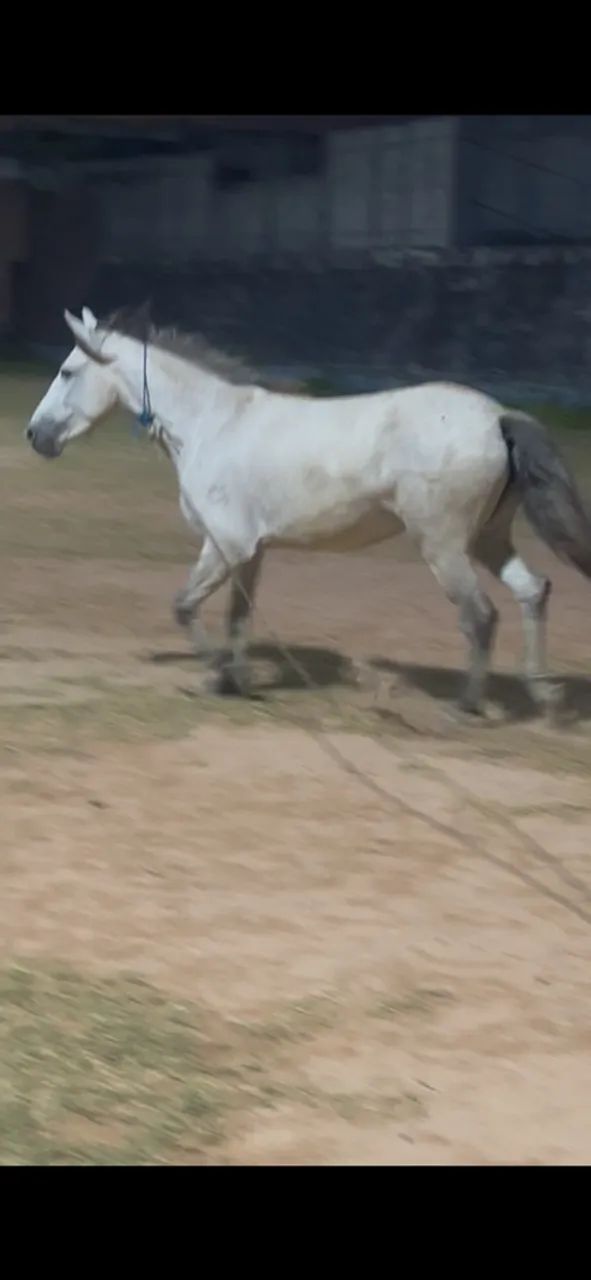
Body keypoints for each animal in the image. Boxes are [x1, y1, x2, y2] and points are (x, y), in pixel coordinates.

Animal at [25, 305, 591, 720]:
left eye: (67, 371)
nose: (35, 436)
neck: (212, 424)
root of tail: (497, 417)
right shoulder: (248, 553)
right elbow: (238, 616)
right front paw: (235, 681)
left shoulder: (224, 545)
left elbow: (184, 607)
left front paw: (218, 673)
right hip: (488, 538)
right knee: (532, 591)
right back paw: (543, 695)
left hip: (444, 546)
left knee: (480, 615)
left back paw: (465, 707)